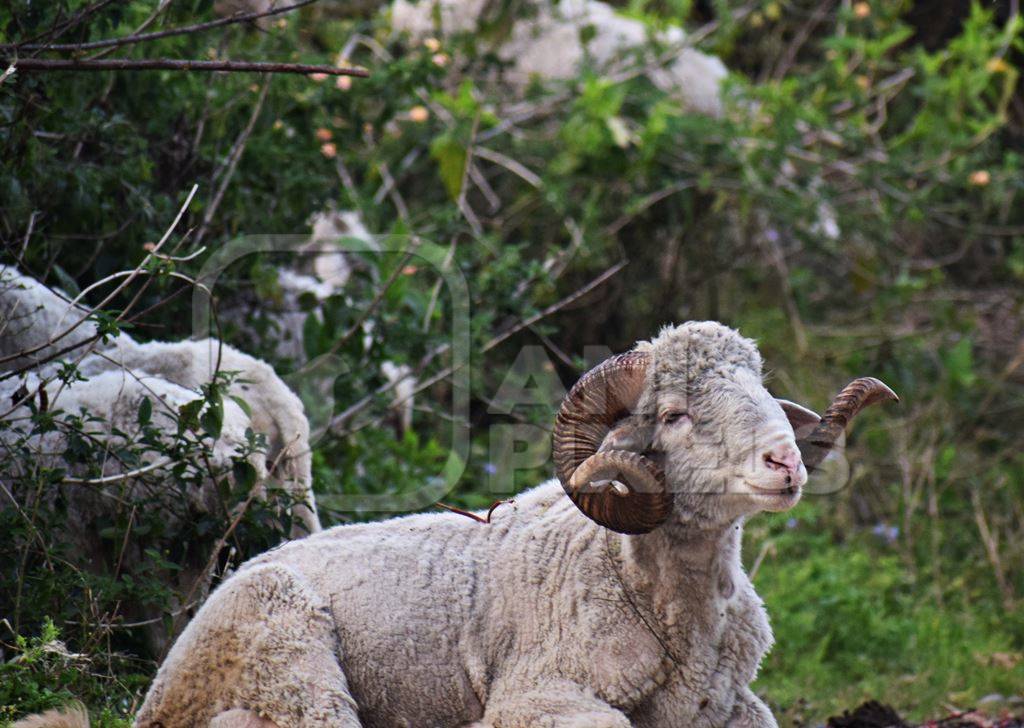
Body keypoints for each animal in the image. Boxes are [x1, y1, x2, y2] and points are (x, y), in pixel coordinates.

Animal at [128, 323, 892, 728]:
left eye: (762, 390)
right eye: (674, 413)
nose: (785, 462)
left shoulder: (736, 708)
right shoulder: (537, 696)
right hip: (285, 651)